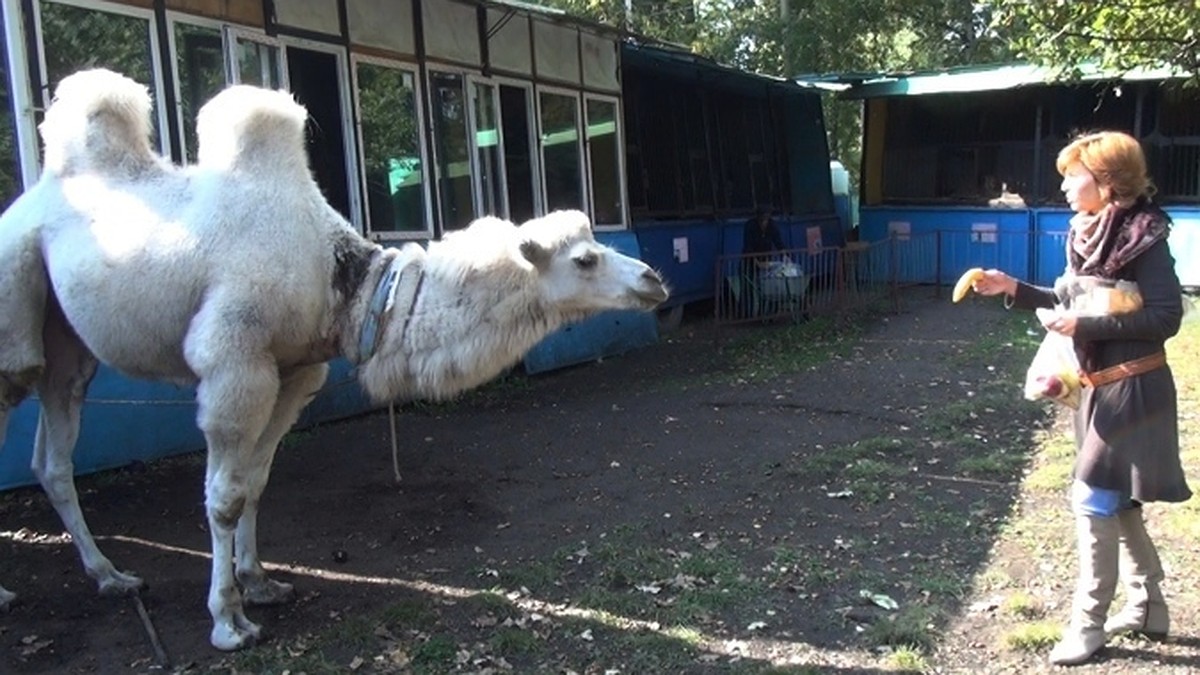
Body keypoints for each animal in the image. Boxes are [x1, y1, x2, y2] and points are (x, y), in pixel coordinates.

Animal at [0, 68, 667, 648]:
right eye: (585, 259)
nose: (653, 279)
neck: (345, 284)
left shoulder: (296, 369)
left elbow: (256, 482)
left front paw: (260, 584)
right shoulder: (235, 362)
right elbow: (224, 496)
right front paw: (229, 620)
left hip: (67, 345)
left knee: (53, 456)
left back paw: (110, 576)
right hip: (15, 308)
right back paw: (16, 593)